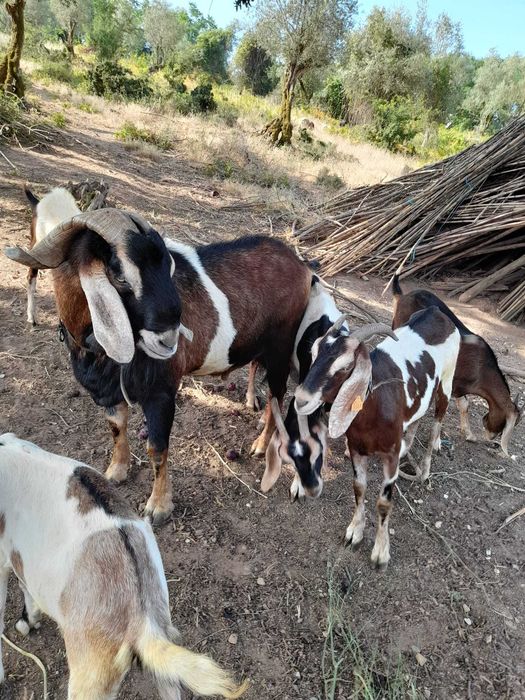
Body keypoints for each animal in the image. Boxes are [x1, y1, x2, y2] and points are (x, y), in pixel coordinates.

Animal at [6, 188, 312, 524]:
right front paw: (116, 471)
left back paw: (260, 444)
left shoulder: (161, 392)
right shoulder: (109, 391)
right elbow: (117, 427)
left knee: (278, 395)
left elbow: (157, 447)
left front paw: (159, 506)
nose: (170, 338)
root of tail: (301, 265)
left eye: (167, 266)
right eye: (119, 274)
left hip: (281, 348)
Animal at [295, 309, 460, 569]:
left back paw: (424, 471)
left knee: (436, 423)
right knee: (417, 419)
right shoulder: (356, 449)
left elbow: (384, 503)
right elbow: (359, 488)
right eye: (313, 353)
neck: (375, 406)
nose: (301, 399)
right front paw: (354, 532)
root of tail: (437, 313)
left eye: (346, 367)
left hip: (447, 382)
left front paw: (381, 553)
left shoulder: (390, 456)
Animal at [392, 275, 521, 455]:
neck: (481, 368)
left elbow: (464, 405)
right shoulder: (446, 381)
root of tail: (404, 295)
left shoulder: (459, 387)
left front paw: (469, 434)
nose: (492, 437)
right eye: (506, 425)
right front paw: (437, 442)